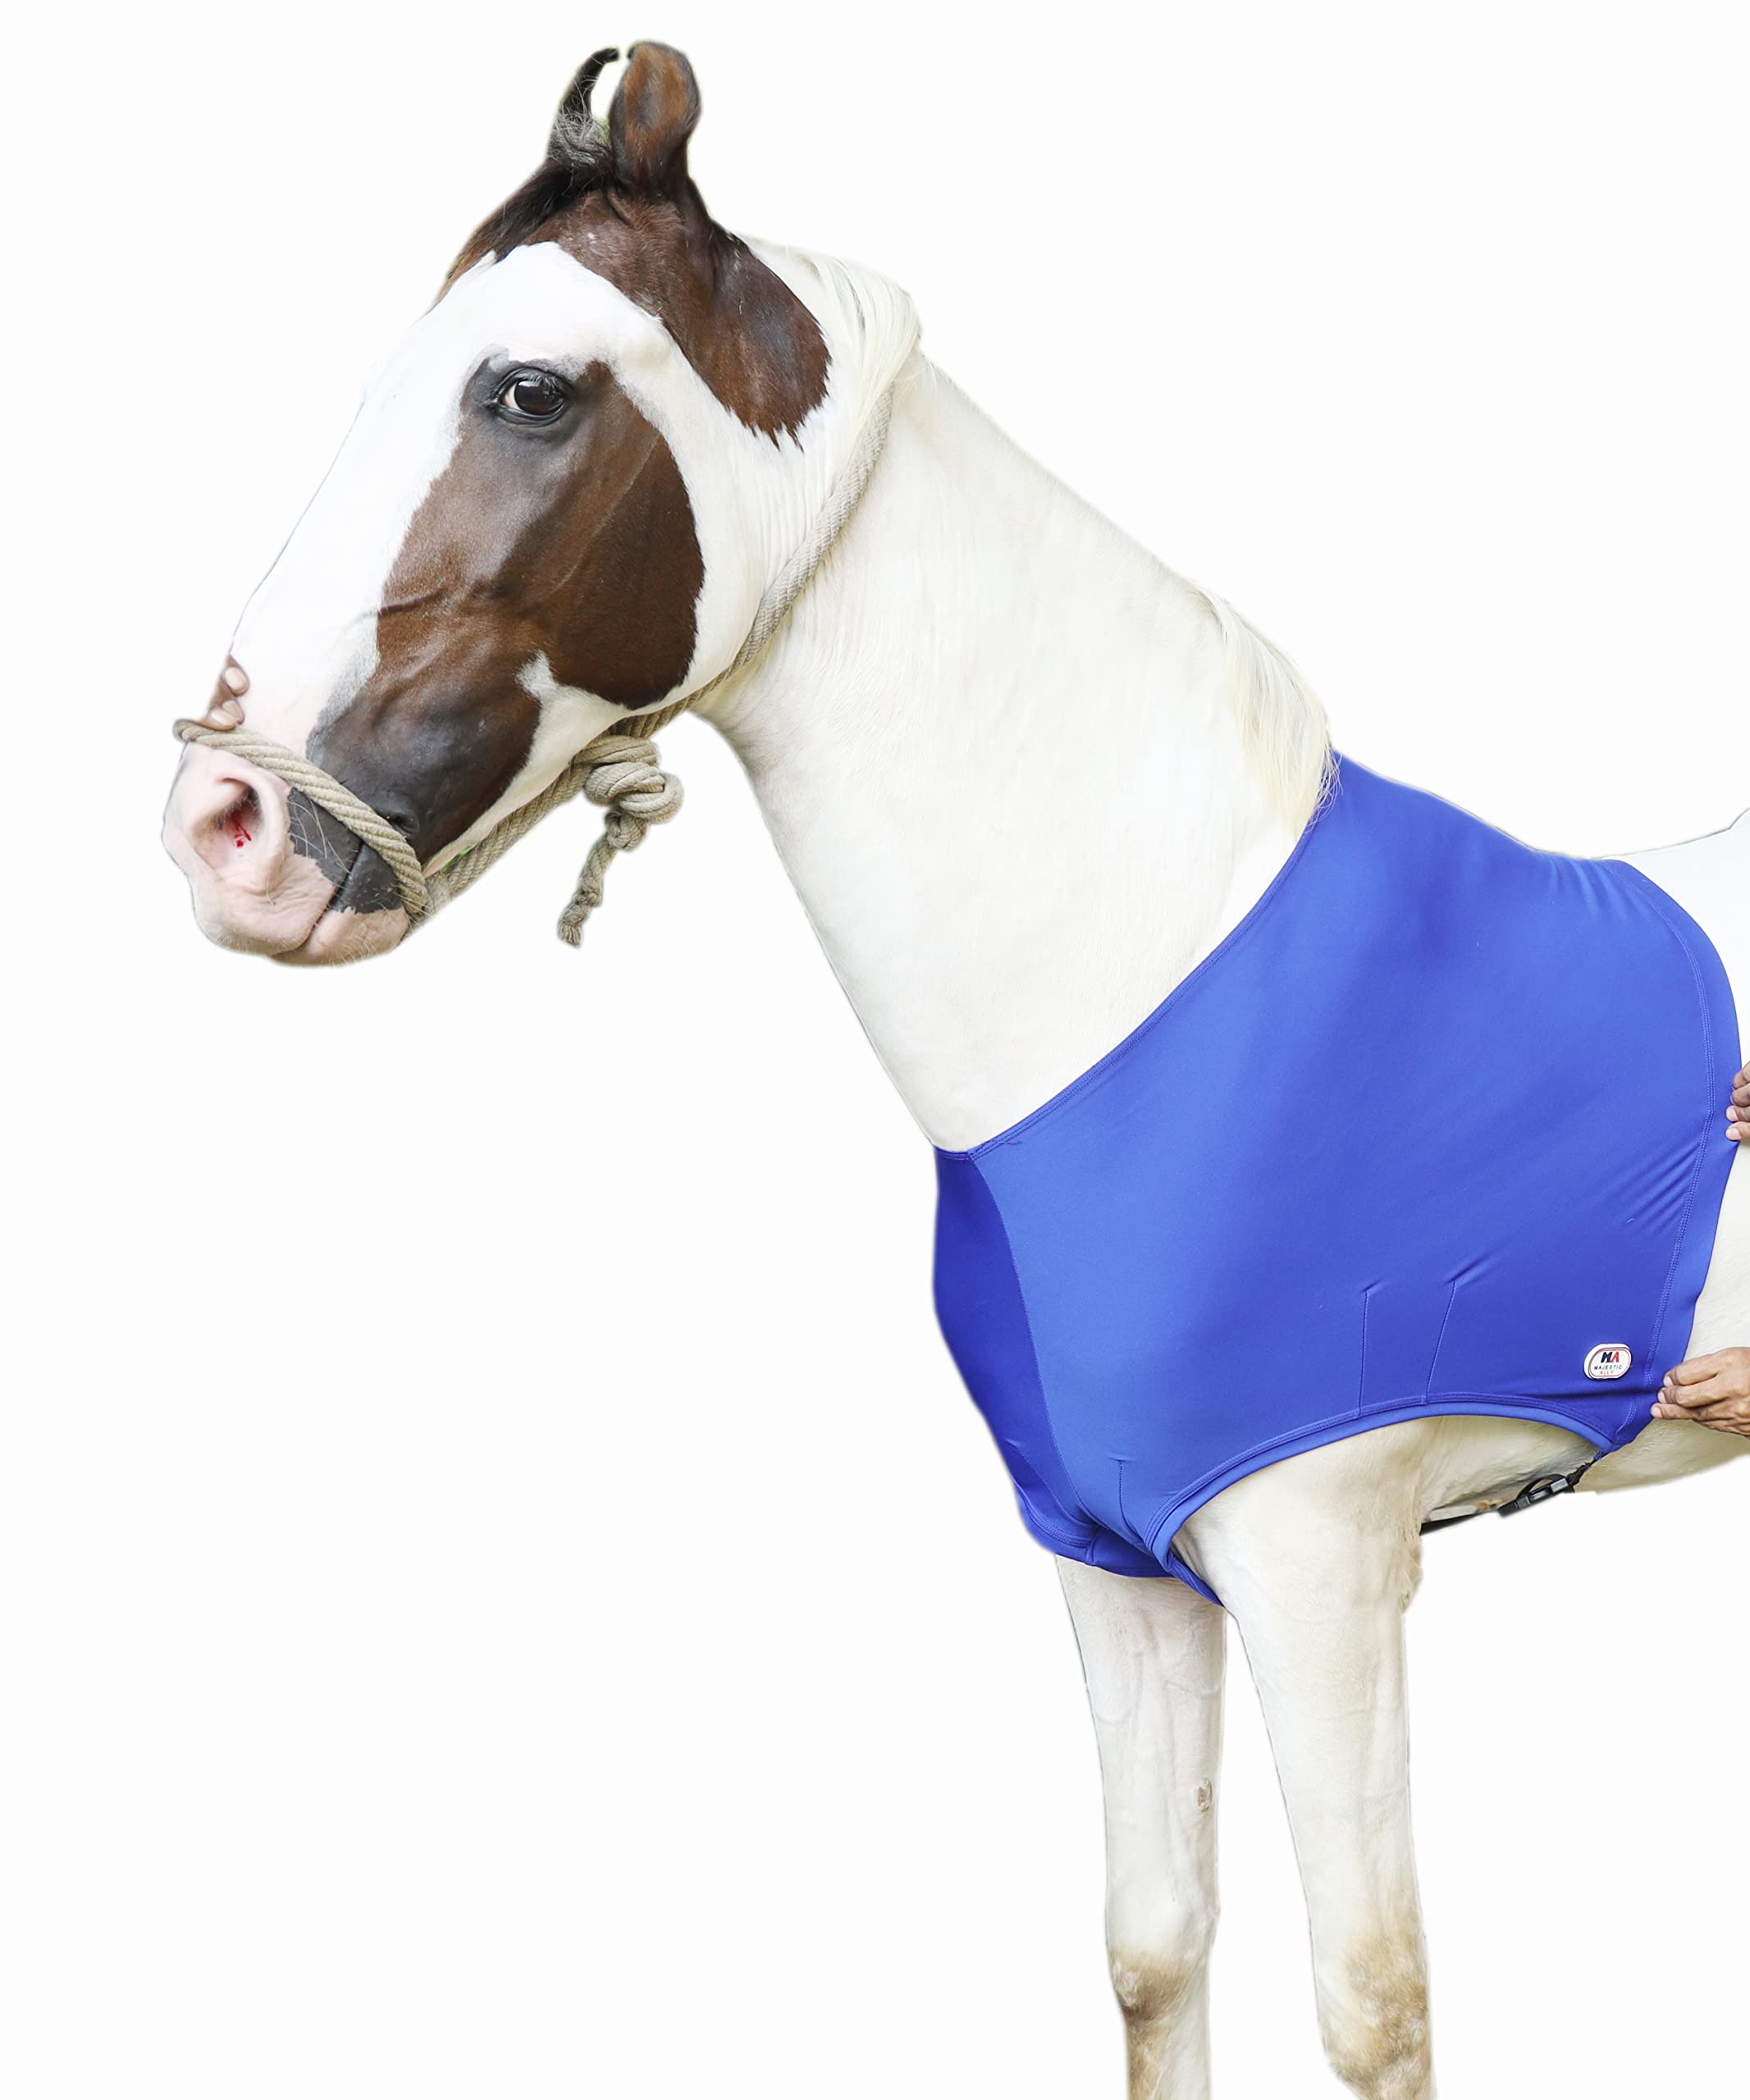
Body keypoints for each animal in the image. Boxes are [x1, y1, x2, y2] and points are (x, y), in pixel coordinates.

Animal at [160, 42, 1747, 2100]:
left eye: (524, 389)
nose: (222, 826)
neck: (1143, 977)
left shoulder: (1320, 1556)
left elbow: (1371, 1998)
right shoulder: (1117, 1556)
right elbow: (1156, 1945)